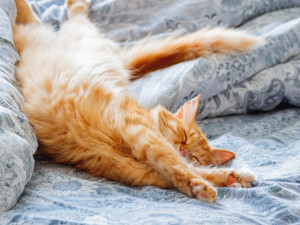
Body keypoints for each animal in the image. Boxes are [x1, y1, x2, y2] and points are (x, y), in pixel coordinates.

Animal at [12, 0, 262, 202]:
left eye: (196, 156)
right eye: (183, 135)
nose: (183, 150)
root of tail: (120, 64)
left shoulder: (141, 171)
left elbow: (191, 171)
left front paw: (233, 177)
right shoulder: (140, 131)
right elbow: (175, 163)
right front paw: (204, 185)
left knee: (52, 18)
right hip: (62, 35)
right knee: (62, 16)